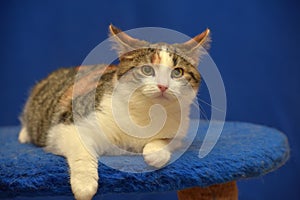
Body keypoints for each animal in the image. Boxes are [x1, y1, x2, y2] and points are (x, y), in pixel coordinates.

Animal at [18, 24, 211, 199]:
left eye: (177, 72)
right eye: (147, 69)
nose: (163, 86)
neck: (147, 113)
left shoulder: (180, 128)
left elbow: (167, 140)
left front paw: (156, 153)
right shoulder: (67, 125)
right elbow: (81, 150)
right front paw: (84, 184)